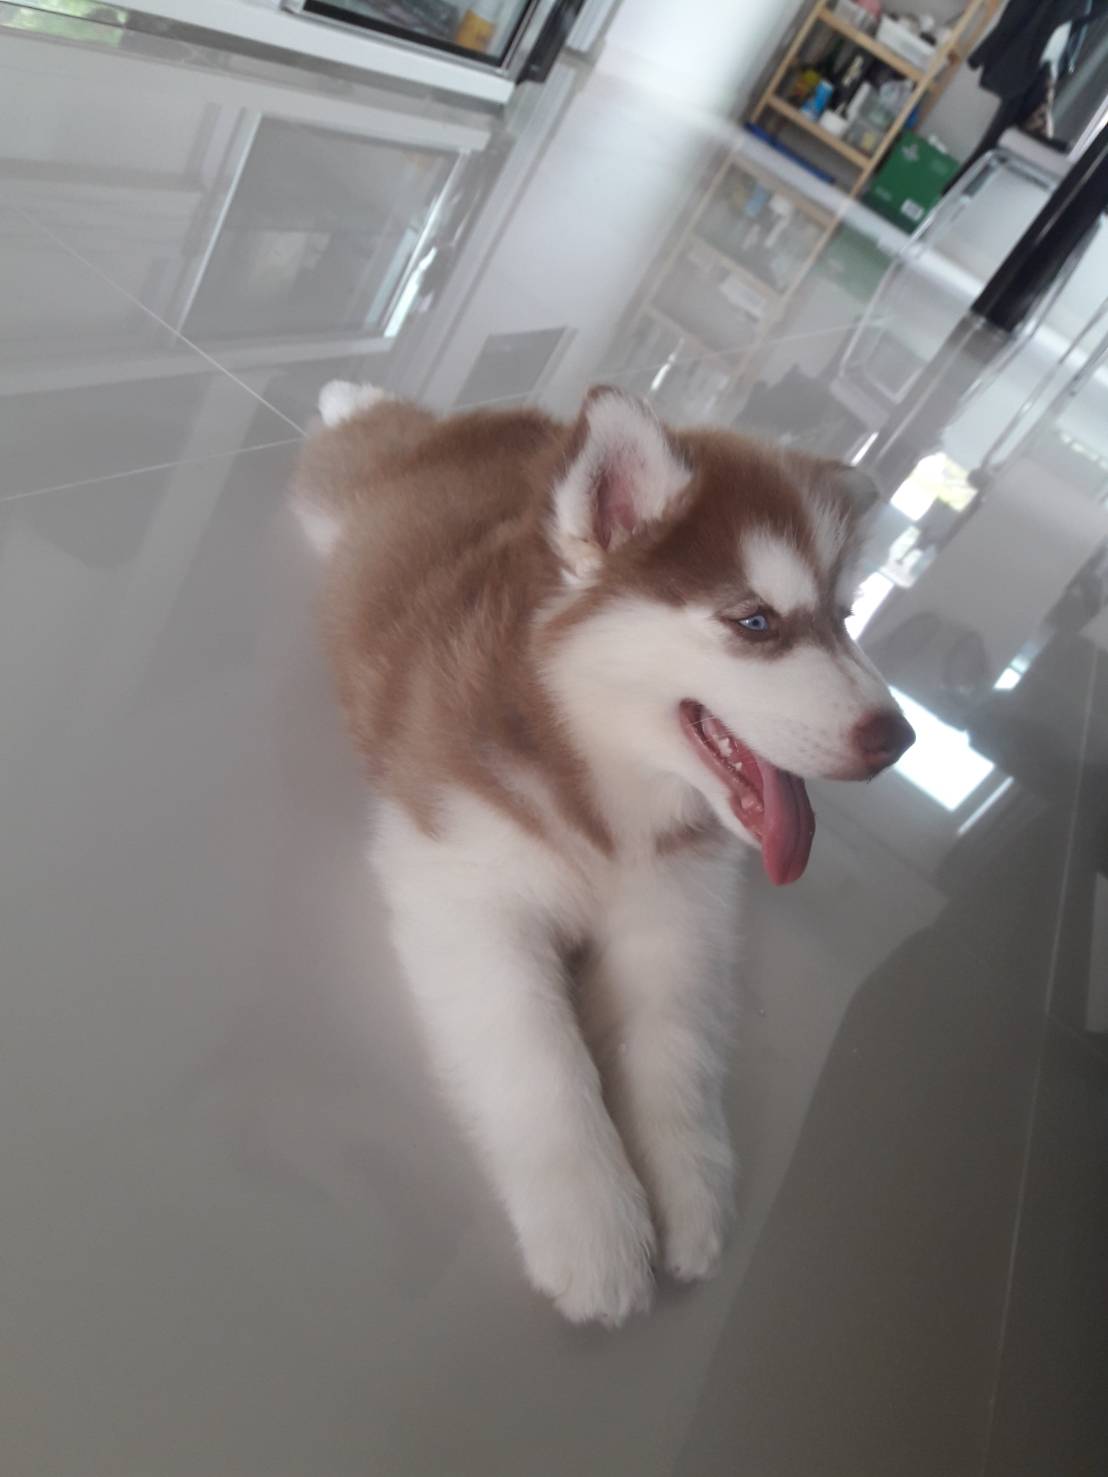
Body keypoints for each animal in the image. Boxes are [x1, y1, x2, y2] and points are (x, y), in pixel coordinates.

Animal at [293, 381, 914, 1326]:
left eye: (844, 620)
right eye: (755, 621)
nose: (900, 738)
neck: (607, 777)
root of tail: (513, 423)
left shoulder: (678, 911)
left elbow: (675, 1046)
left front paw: (689, 1189)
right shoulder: (465, 889)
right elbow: (541, 1057)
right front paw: (594, 1225)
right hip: (337, 495)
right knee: (362, 434)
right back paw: (348, 395)